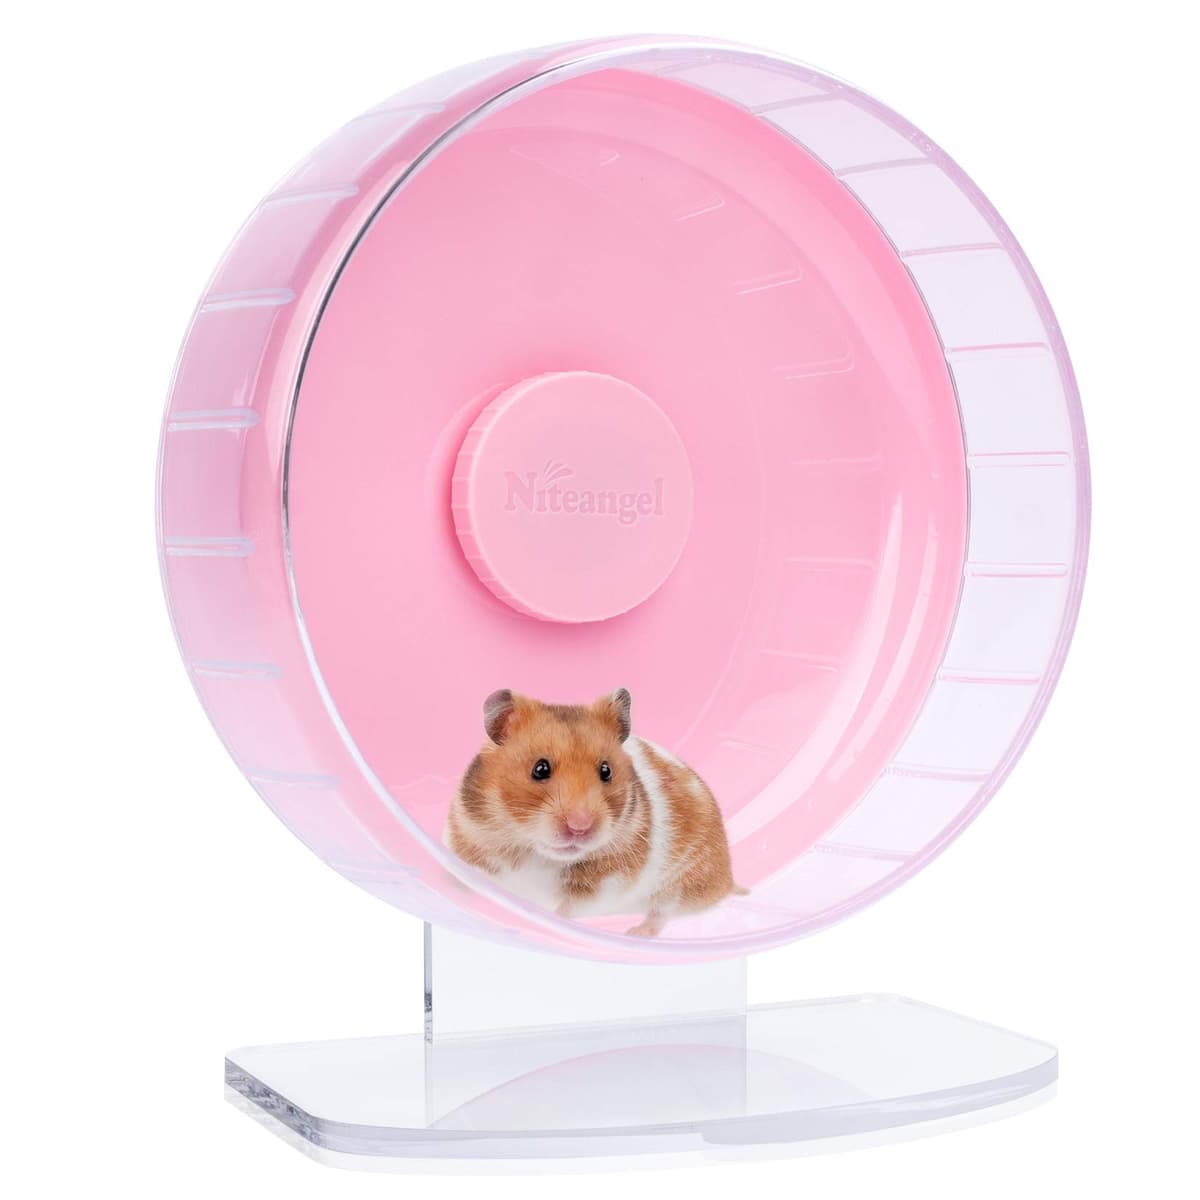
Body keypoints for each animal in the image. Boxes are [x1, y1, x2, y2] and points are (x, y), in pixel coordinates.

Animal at [444, 688, 747, 937]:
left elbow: (568, 908)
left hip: (680, 885)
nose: (580, 827)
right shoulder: (467, 845)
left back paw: (635, 933)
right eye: (540, 769)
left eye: (606, 771)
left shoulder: (606, 883)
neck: (536, 853)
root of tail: (727, 879)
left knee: (661, 915)